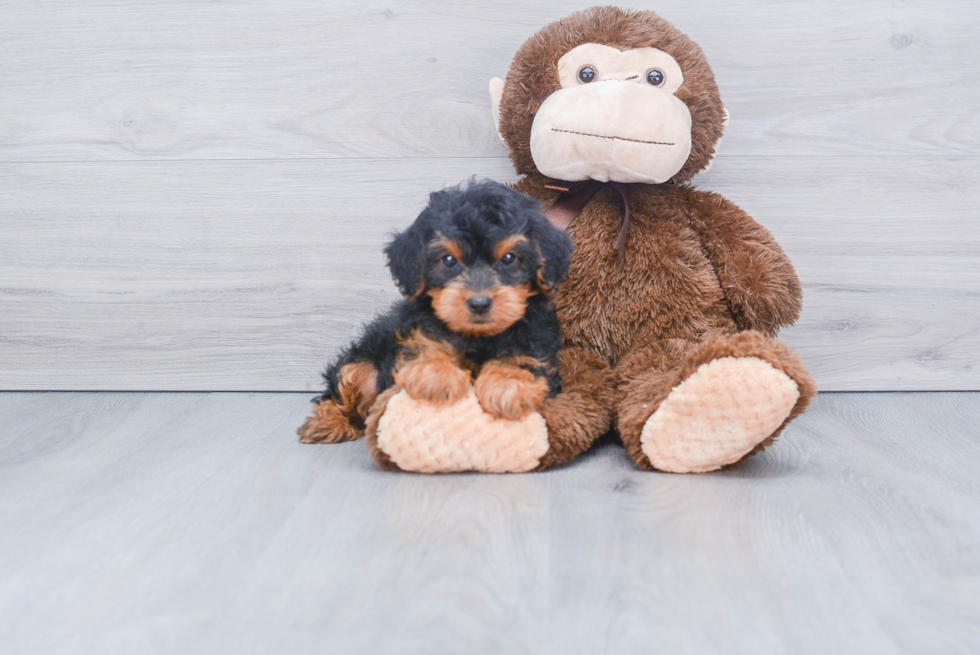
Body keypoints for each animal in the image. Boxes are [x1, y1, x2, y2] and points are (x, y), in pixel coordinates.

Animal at [298, 179, 576, 446]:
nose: (479, 303)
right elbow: (426, 343)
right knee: (347, 385)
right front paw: (436, 375)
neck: (478, 337)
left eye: (509, 258)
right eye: (449, 260)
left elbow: (525, 354)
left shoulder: (535, 334)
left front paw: (506, 385)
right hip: (363, 361)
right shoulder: (418, 327)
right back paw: (328, 422)